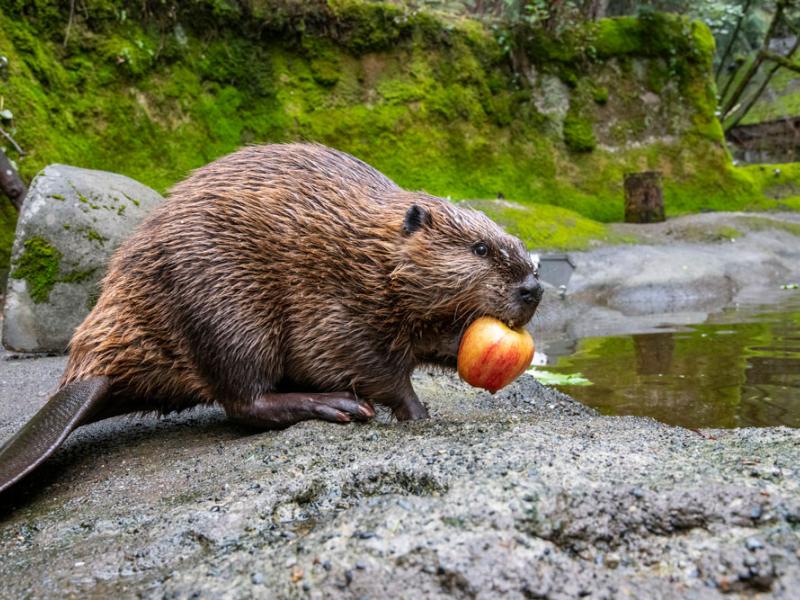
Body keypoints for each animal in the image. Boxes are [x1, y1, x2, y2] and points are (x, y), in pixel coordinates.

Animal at [0, 144, 544, 492]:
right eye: (479, 249)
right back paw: (335, 406)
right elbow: (370, 364)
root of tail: (86, 377)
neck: (369, 248)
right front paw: (417, 412)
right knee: (243, 401)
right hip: (228, 308)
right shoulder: (335, 304)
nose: (534, 288)